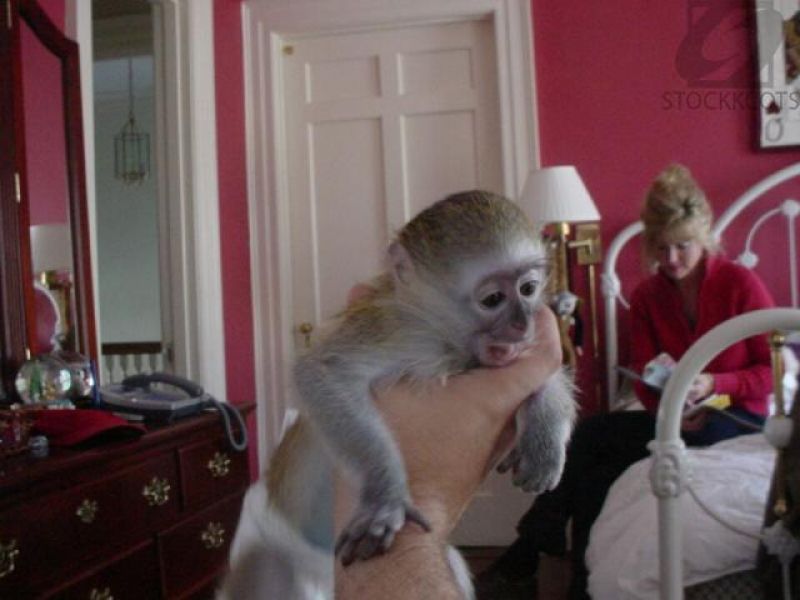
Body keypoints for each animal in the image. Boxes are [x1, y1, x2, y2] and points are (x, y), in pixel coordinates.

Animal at [218, 190, 576, 599]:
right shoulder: (401, 329)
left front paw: (543, 437)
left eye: (528, 290)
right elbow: (323, 372)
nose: (522, 324)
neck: (448, 342)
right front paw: (385, 494)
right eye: (493, 299)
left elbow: (549, 374)